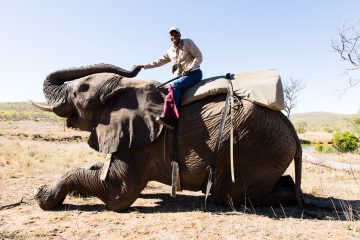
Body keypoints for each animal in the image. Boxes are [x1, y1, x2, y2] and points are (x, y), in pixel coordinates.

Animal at [33, 62, 304, 211]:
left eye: (82, 89)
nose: (137, 66)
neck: (125, 89)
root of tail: (290, 127)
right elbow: (102, 172)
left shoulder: (141, 141)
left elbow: (117, 194)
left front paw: (43, 196)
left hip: (255, 146)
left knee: (230, 196)